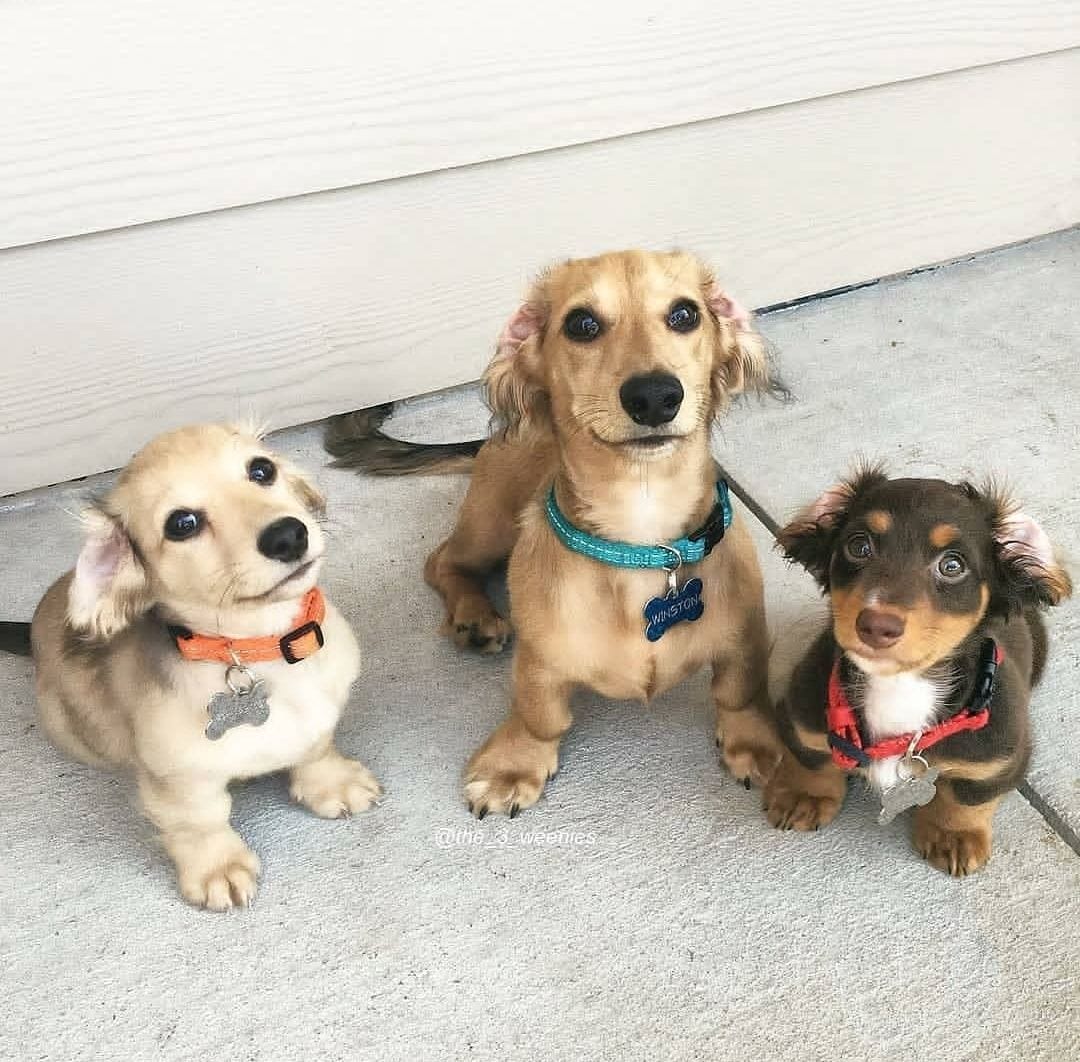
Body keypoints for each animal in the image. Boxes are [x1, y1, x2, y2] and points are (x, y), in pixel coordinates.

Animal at [16, 424, 380, 910]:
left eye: (261, 470)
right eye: (182, 524)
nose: (288, 536)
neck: (260, 649)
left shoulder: (318, 725)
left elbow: (315, 748)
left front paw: (333, 783)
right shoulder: (179, 779)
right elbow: (200, 823)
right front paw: (217, 868)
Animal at [326, 249, 784, 816]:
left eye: (685, 314)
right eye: (581, 324)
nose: (655, 396)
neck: (641, 540)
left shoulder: (744, 639)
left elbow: (739, 691)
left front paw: (756, 744)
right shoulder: (540, 658)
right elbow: (540, 714)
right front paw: (515, 763)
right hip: (490, 524)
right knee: (443, 562)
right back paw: (474, 615)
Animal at [765, 466, 1071, 875]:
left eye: (952, 565)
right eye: (859, 546)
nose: (877, 625)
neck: (899, 688)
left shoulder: (999, 759)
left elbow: (967, 799)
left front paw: (953, 835)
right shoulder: (801, 715)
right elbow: (810, 759)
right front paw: (803, 796)